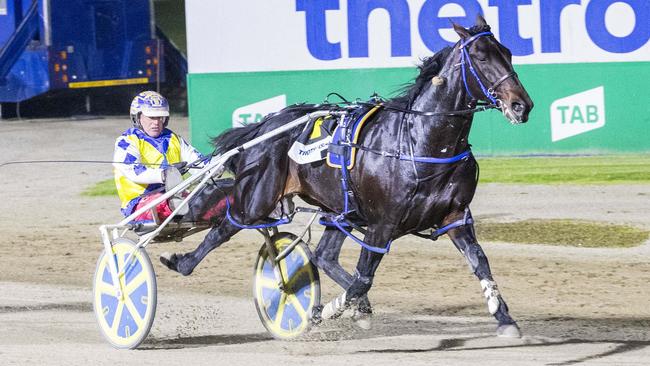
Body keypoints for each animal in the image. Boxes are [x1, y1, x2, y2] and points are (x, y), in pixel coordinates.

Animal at [161, 17, 532, 338]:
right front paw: (327, 310)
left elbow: (481, 263)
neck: (420, 141)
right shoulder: (383, 224)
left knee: (323, 255)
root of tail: (266, 125)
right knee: (225, 225)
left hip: (338, 209)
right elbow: (363, 278)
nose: (521, 105)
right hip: (256, 199)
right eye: (481, 56)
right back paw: (182, 262)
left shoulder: (456, 217)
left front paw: (505, 319)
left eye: (508, 52)